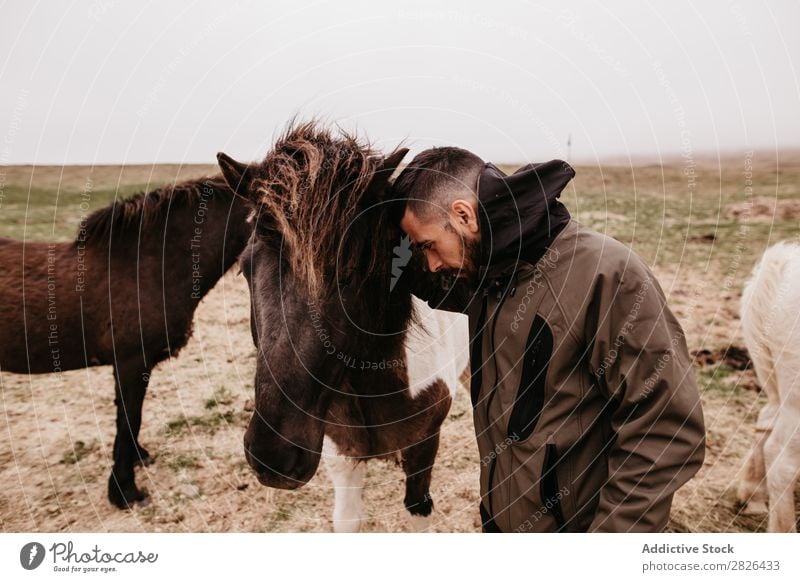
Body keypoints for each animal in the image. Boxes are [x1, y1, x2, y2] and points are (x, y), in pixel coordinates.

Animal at [0, 177, 253, 506]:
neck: (148, 266)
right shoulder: (131, 363)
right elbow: (130, 417)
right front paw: (125, 490)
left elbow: (129, 417)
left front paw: (136, 459)